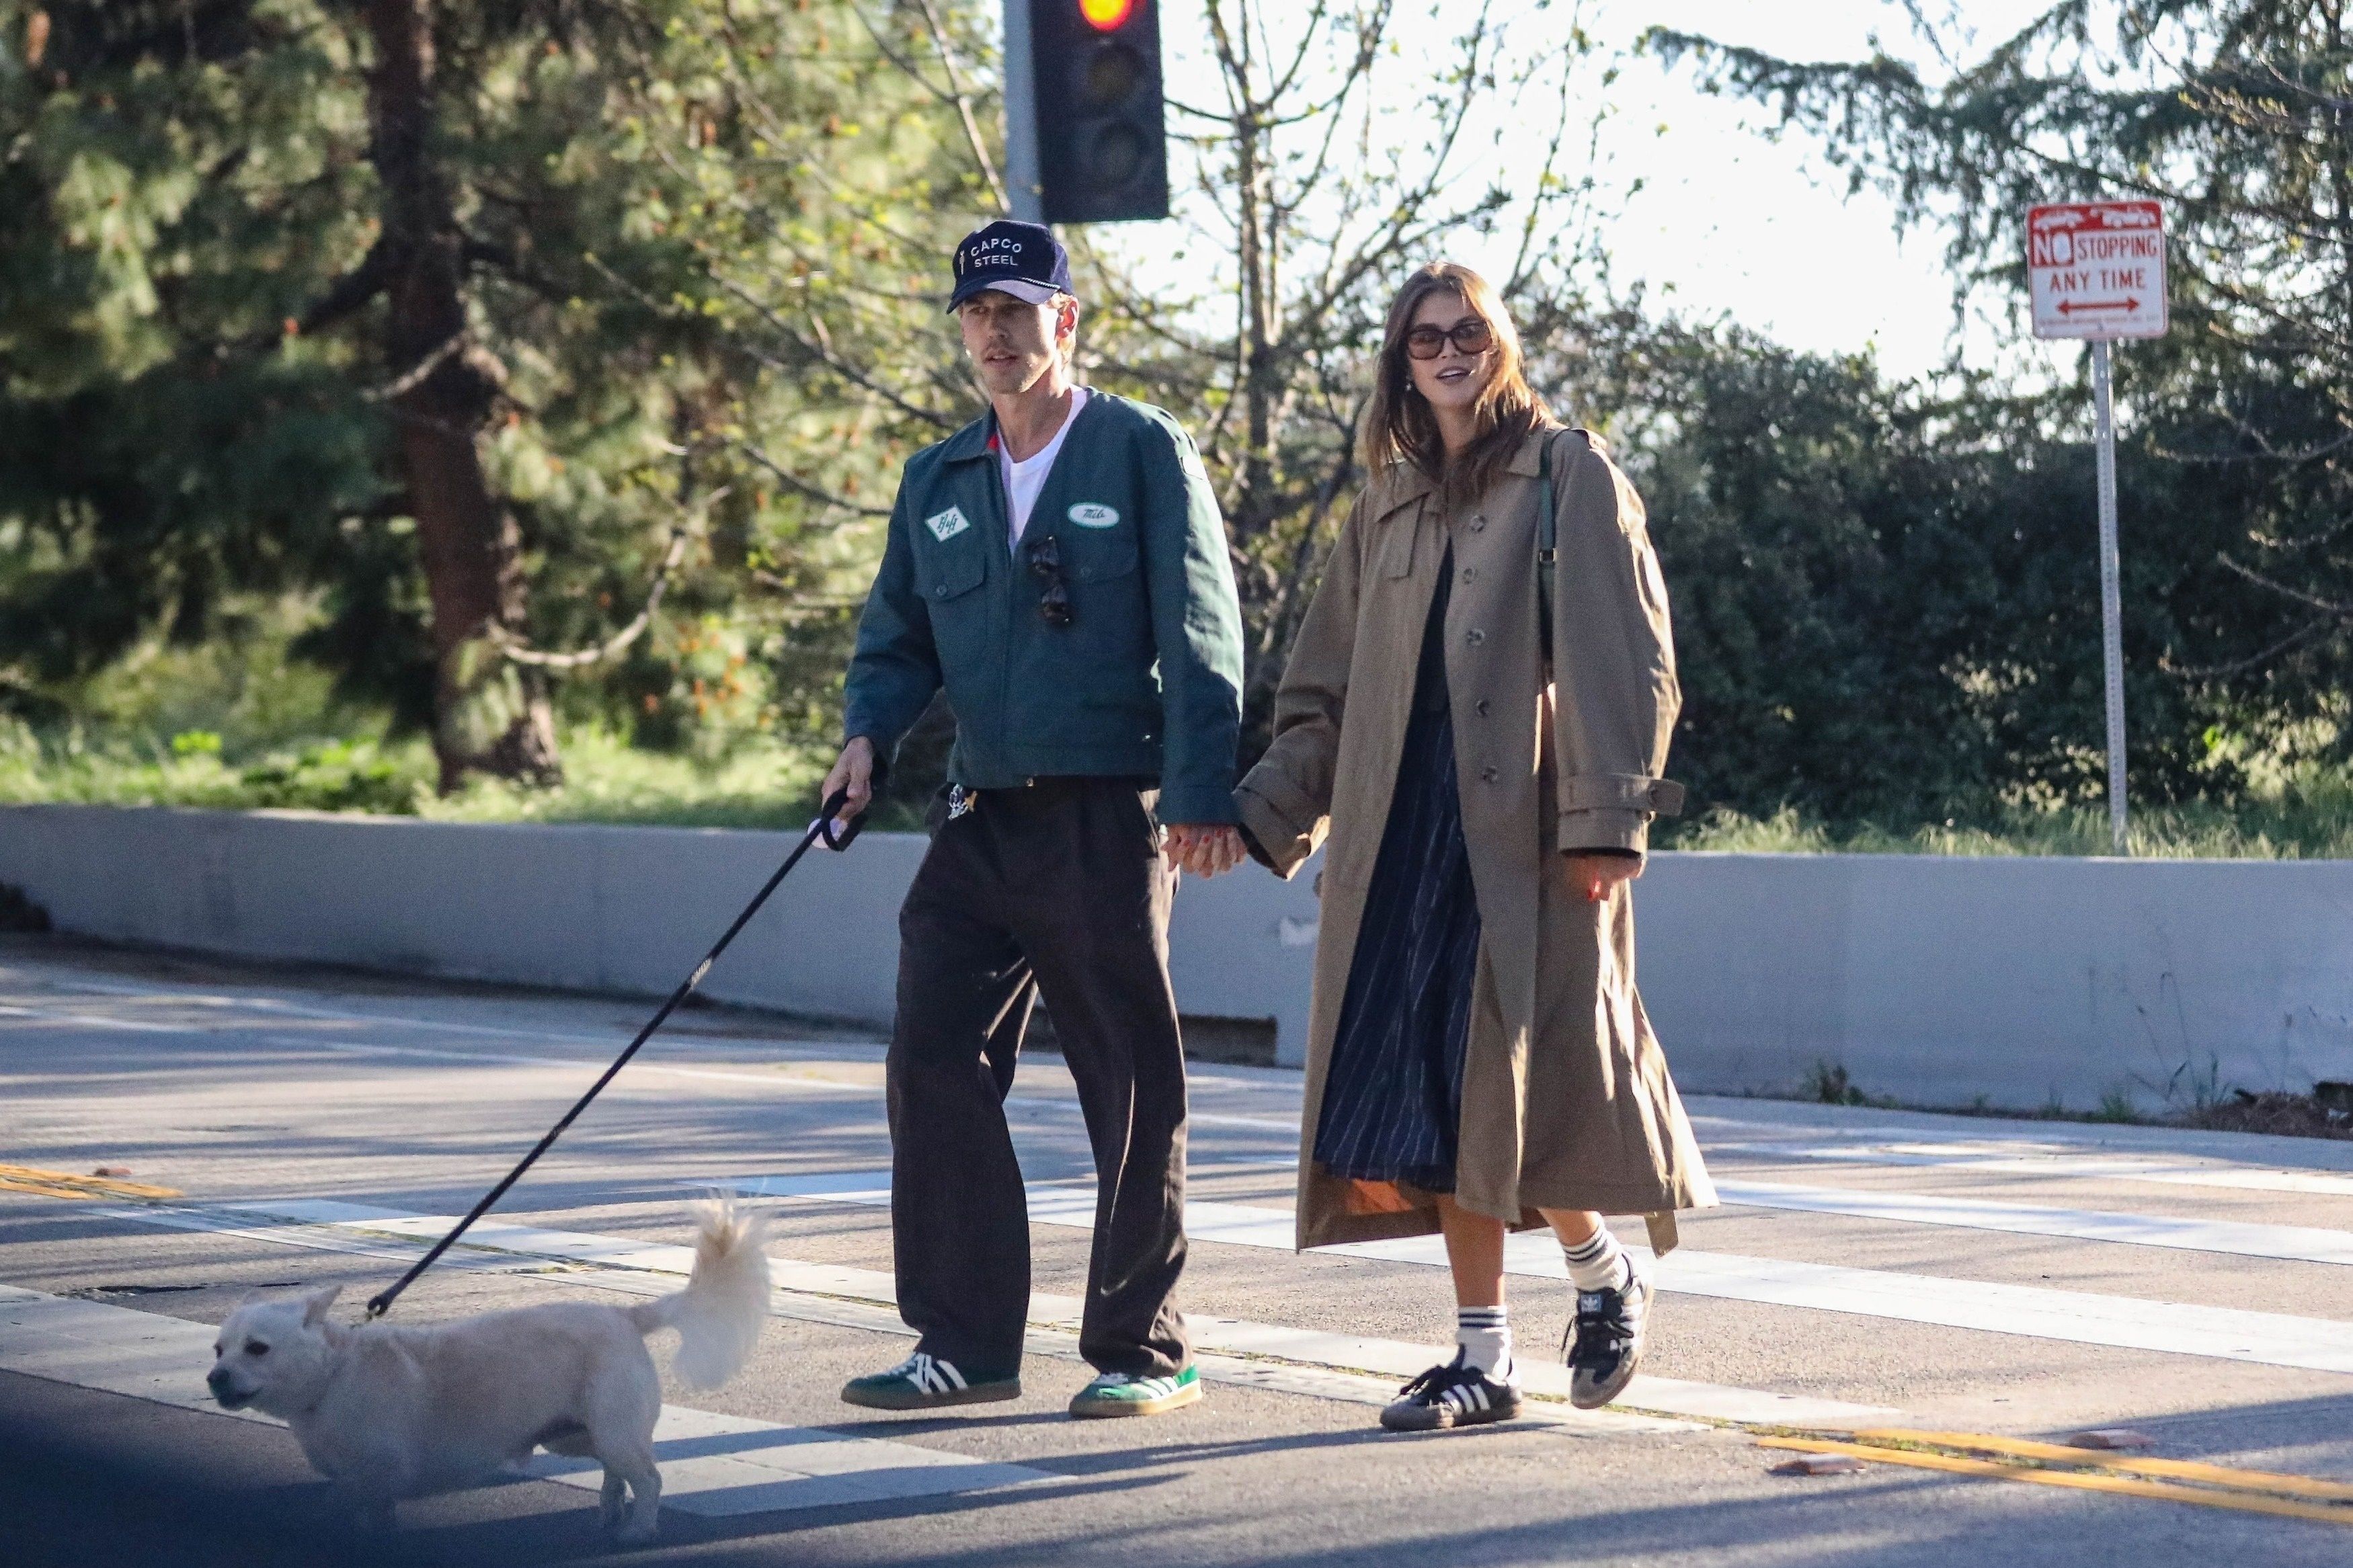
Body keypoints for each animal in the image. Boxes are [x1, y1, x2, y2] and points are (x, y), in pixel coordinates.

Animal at [203, 1203, 772, 1542]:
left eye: (257, 1349)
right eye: (218, 1350)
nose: (215, 1378)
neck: (335, 1373)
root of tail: (625, 1315)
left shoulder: (373, 1472)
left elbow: (344, 1502)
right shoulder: (369, 1482)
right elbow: (371, 1512)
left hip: (612, 1428)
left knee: (649, 1478)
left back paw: (638, 1529)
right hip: (578, 1434)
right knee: (619, 1471)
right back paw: (611, 1508)